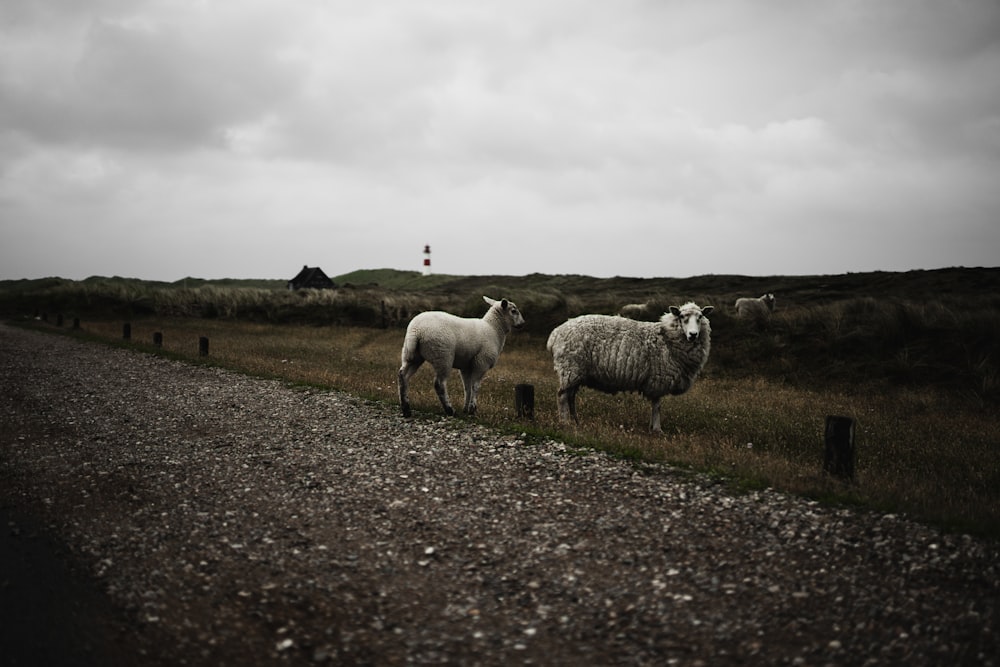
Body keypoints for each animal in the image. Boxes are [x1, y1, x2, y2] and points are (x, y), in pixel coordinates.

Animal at [396, 296, 528, 418]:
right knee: (439, 384)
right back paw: (450, 410)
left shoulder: (466, 366)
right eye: (514, 311)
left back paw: (406, 409)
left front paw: (465, 409)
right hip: (443, 356)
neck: (493, 329)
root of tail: (416, 331)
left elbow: (467, 387)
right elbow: (475, 386)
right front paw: (472, 409)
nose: (522, 323)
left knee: (403, 376)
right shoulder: (481, 363)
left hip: (412, 355)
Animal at [548, 302, 712, 434]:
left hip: (575, 372)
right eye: (682, 316)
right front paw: (657, 429)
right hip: (570, 368)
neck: (667, 338)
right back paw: (565, 423)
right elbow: (657, 405)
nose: (693, 334)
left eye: (700, 316)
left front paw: (652, 427)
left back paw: (576, 421)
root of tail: (556, 333)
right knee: (562, 396)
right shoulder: (658, 379)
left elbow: (655, 405)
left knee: (571, 397)